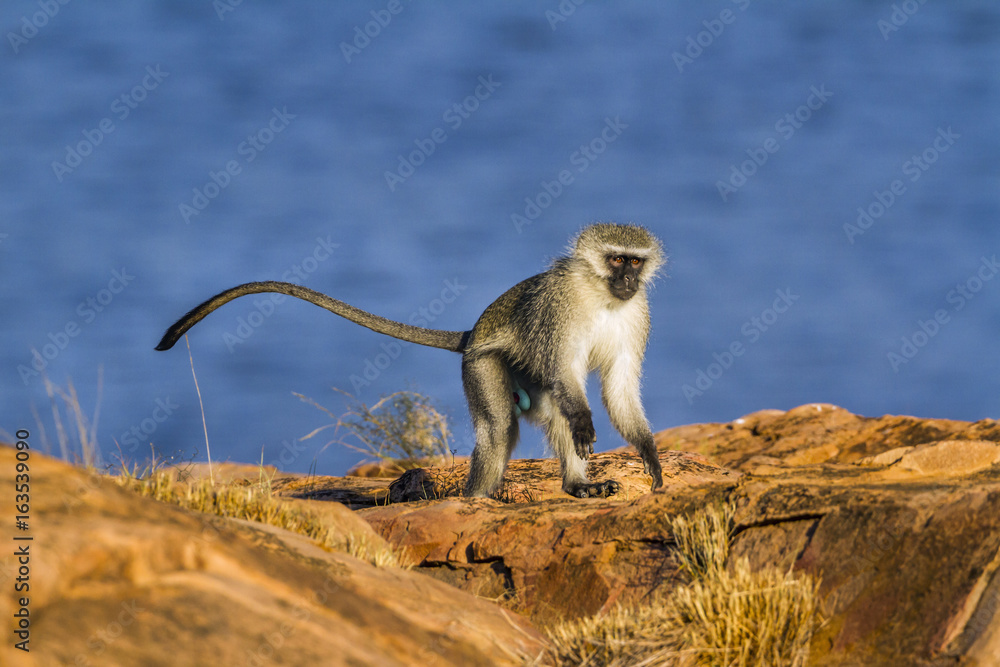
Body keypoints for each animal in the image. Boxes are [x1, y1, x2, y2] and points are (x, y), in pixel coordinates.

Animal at [156, 223, 665, 498]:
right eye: (616, 260)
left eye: (635, 263)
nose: (628, 282)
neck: (602, 296)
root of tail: (472, 334)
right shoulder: (562, 308)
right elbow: (567, 374)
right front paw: (589, 427)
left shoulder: (637, 313)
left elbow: (618, 386)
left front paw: (649, 454)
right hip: (482, 365)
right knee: (503, 426)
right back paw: (477, 499)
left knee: (547, 412)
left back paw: (575, 487)